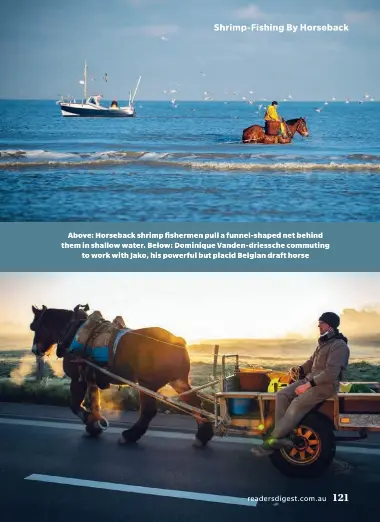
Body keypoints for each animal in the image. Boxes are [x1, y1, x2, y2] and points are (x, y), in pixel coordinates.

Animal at [29, 304, 214, 446]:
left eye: (34, 326)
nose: (35, 350)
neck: (74, 331)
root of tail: (178, 341)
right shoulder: (90, 379)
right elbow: (94, 403)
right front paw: (95, 424)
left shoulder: (78, 379)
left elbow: (74, 405)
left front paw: (91, 424)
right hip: (178, 381)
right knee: (195, 404)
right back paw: (203, 435)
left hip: (147, 383)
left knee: (148, 412)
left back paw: (130, 435)